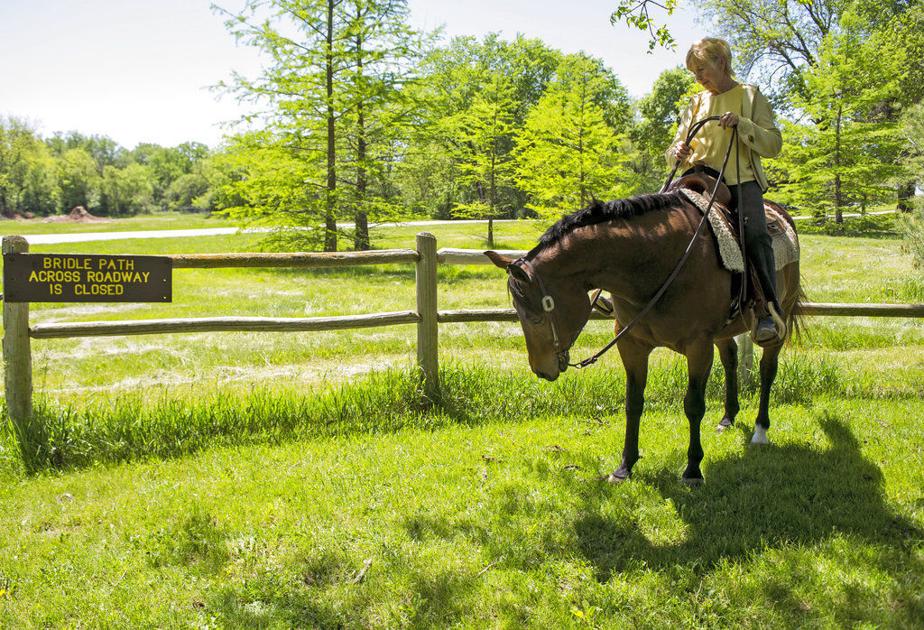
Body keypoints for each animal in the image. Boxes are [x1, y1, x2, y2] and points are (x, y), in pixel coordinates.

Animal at [485, 184, 802, 485]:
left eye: (536, 315)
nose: (541, 369)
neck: (658, 263)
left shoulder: (699, 345)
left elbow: (693, 405)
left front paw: (692, 469)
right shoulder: (631, 343)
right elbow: (633, 402)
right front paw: (625, 466)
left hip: (780, 316)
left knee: (767, 369)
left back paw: (760, 429)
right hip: (723, 331)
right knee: (731, 360)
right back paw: (728, 417)